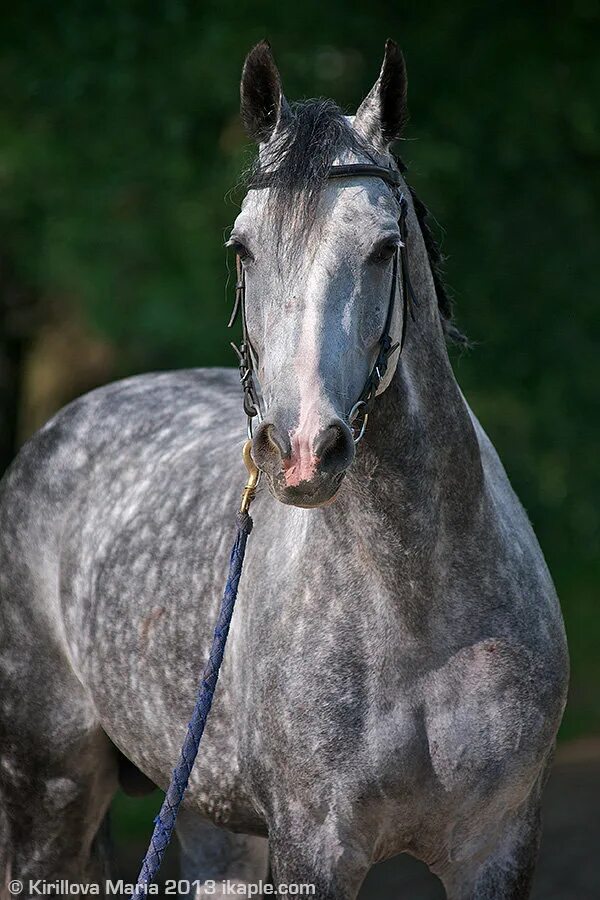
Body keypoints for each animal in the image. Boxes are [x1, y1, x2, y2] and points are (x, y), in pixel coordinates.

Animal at [0, 40, 568, 900]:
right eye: (242, 247)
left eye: (384, 247)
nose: (301, 449)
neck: (416, 608)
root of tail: (58, 429)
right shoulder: (315, 846)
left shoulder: (499, 848)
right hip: (47, 795)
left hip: (210, 819)